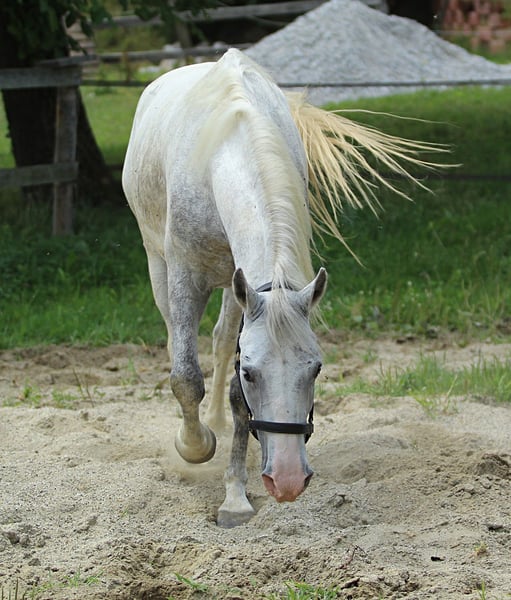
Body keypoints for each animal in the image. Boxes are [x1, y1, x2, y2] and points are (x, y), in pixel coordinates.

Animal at [122, 48, 440, 528]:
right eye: (253, 371)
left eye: (317, 369)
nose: (288, 480)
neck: (228, 148)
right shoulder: (185, 278)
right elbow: (186, 377)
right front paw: (194, 447)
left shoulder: (248, 286)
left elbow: (236, 397)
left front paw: (235, 496)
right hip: (157, 260)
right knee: (177, 342)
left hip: (233, 285)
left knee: (220, 341)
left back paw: (216, 421)